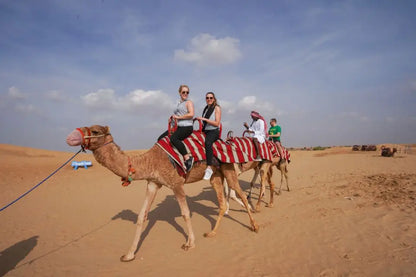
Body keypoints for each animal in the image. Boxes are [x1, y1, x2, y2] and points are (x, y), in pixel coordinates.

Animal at [66, 124, 258, 260]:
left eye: (95, 131)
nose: (71, 136)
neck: (149, 160)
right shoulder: (153, 183)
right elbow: (141, 216)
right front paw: (129, 254)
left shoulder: (176, 183)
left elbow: (185, 213)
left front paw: (190, 244)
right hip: (215, 174)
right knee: (222, 202)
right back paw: (212, 233)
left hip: (228, 167)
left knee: (239, 192)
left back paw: (254, 225)